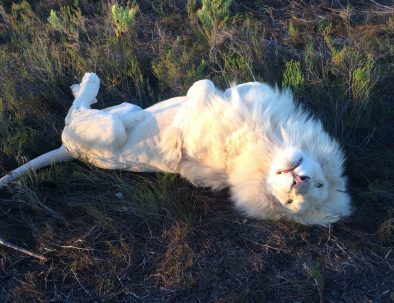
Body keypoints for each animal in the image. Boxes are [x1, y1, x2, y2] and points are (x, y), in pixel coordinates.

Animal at [0, 73, 350, 226]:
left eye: (290, 203)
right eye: (320, 183)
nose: (299, 180)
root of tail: (69, 152)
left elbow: (202, 87)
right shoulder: (256, 96)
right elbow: (230, 89)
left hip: (103, 134)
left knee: (73, 116)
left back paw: (88, 82)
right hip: (124, 110)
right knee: (90, 110)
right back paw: (82, 86)